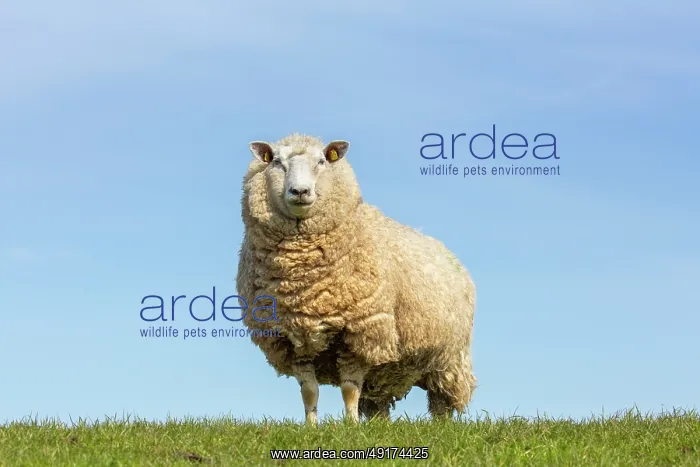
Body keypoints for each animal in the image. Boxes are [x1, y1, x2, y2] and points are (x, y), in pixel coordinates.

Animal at [236, 133, 476, 424]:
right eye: (277, 163)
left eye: (321, 161)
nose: (300, 192)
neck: (301, 278)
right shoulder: (292, 338)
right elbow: (309, 391)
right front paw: (310, 426)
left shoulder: (360, 331)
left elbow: (349, 389)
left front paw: (350, 426)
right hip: (387, 370)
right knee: (377, 399)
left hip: (448, 358)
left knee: (442, 400)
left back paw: (439, 425)